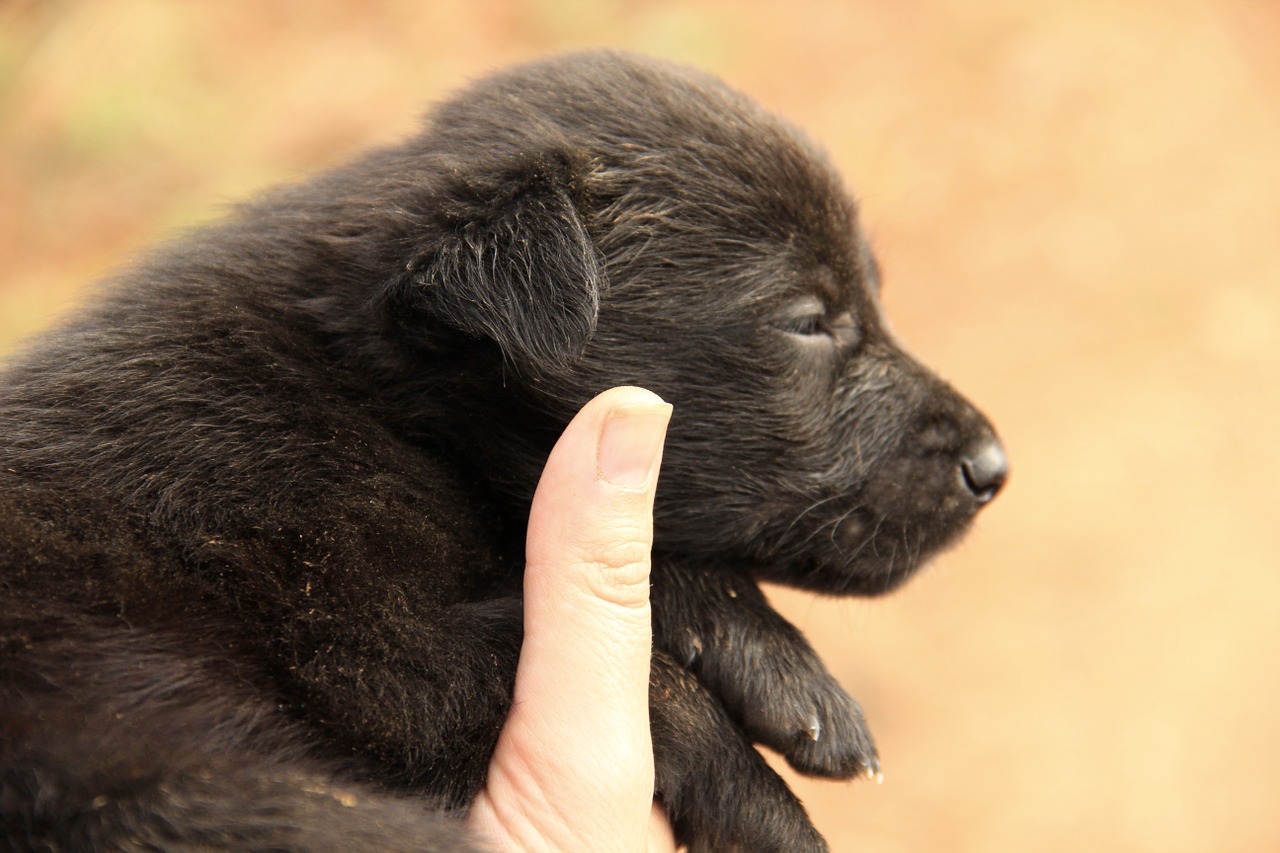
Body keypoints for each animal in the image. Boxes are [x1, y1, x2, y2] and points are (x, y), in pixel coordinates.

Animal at [0, 53, 1003, 850]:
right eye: (807, 320)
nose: (994, 467)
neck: (375, 396)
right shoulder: (364, 648)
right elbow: (639, 680)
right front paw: (771, 803)